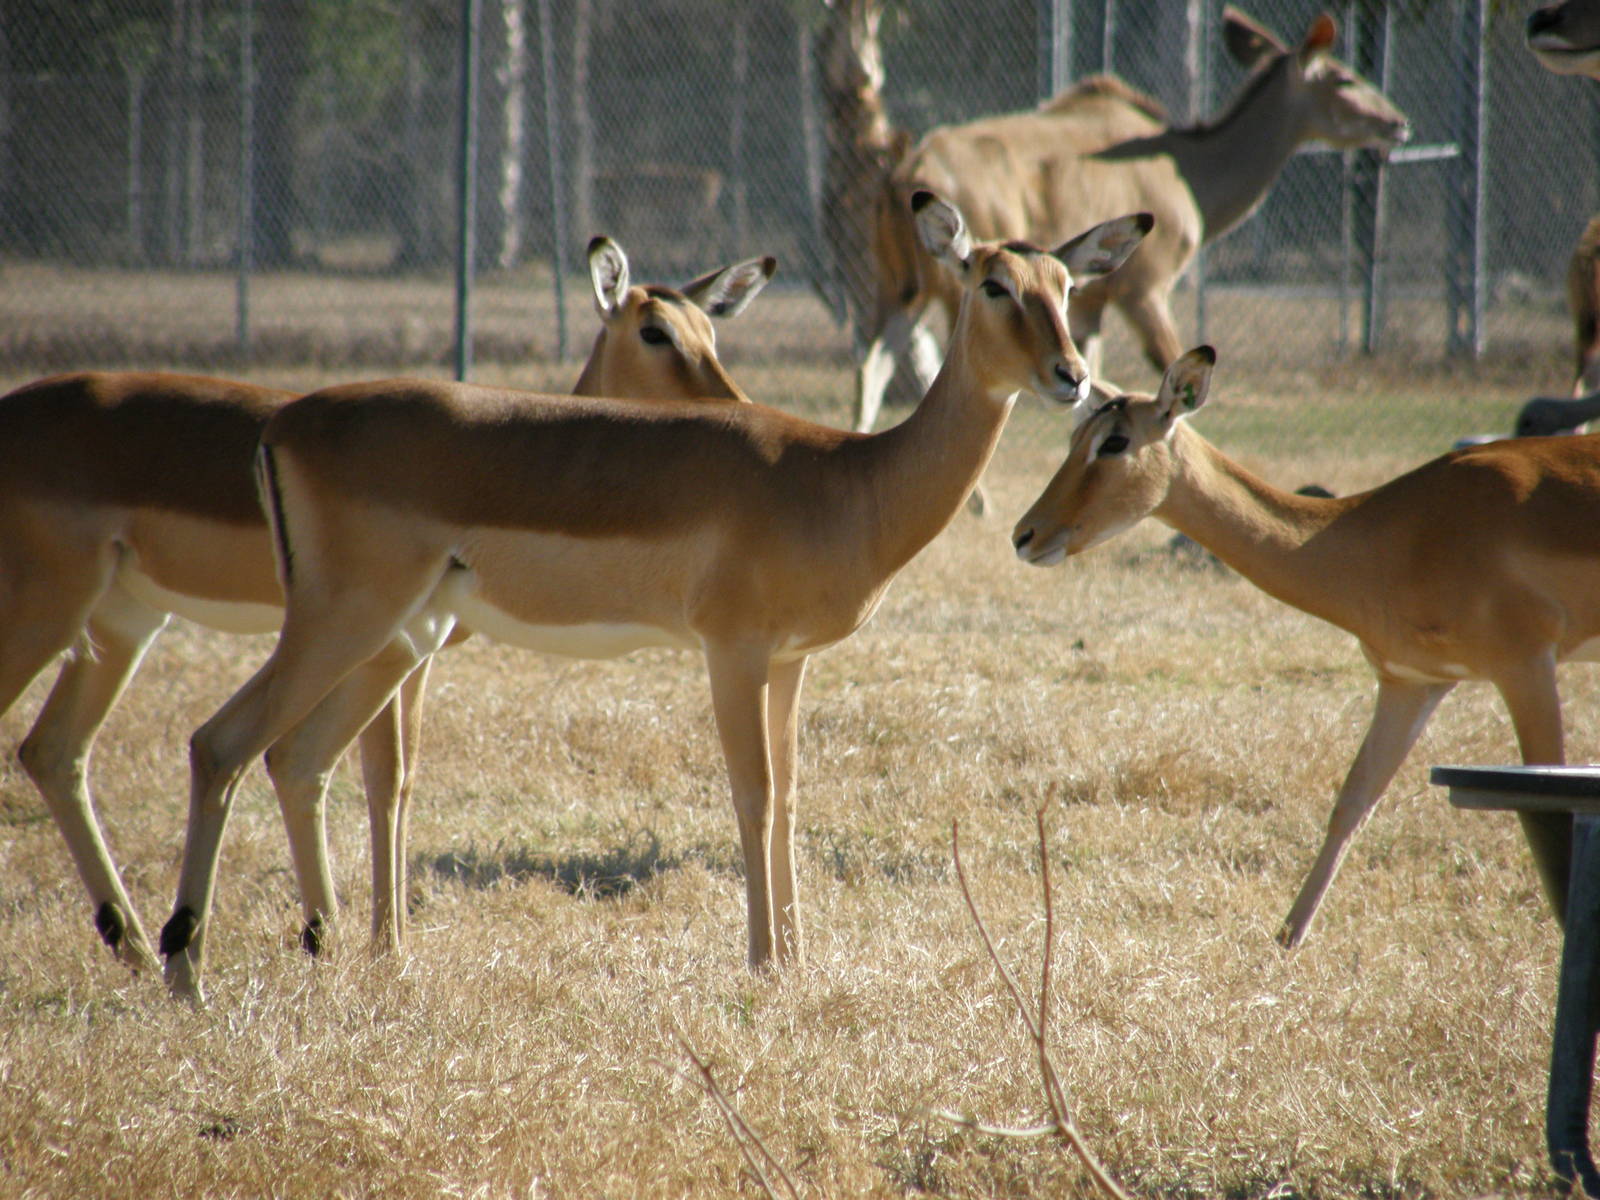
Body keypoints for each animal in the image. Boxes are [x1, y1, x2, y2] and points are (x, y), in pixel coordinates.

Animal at [0, 237, 775, 976]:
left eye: (710, 328)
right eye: (653, 330)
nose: (733, 404)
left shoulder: (404, 654)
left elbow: (365, 775)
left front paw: (355, 940)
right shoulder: (406, 653)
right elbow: (384, 779)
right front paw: (384, 945)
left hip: (123, 625)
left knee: (54, 750)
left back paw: (131, 941)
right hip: (59, 612)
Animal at [155, 194, 1152, 1000]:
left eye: (1065, 281)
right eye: (992, 282)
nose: (1071, 376)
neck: (847, 480)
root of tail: (286, 422)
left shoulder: (790, 664)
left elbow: (792, 797)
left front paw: (797, 959)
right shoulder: (732, 651)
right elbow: (752, 795)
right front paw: (764, 965)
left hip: (390, 637)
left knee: (299, 758)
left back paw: (323, 952)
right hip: (344, 621)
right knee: (222, 742)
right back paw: (184, 970)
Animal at [852, 7, 1409, 435]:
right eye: (1343, 77)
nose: (1397, 123)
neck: (1187, 166)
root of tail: (905, 169)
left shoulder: (1086, 309)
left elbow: (1095, 391)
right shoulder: (1145, 293)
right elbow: (1175, 381)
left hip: (902, 293)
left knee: (872, 367)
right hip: (948, 294)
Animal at [1011, 348, 1598, 948]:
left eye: (1114, 441)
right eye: (1076, 433)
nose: (1025, 534)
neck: (1397, 534)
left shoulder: (1526, 666)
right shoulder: (1413, 681)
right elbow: (1353, 800)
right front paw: (1287, 938)